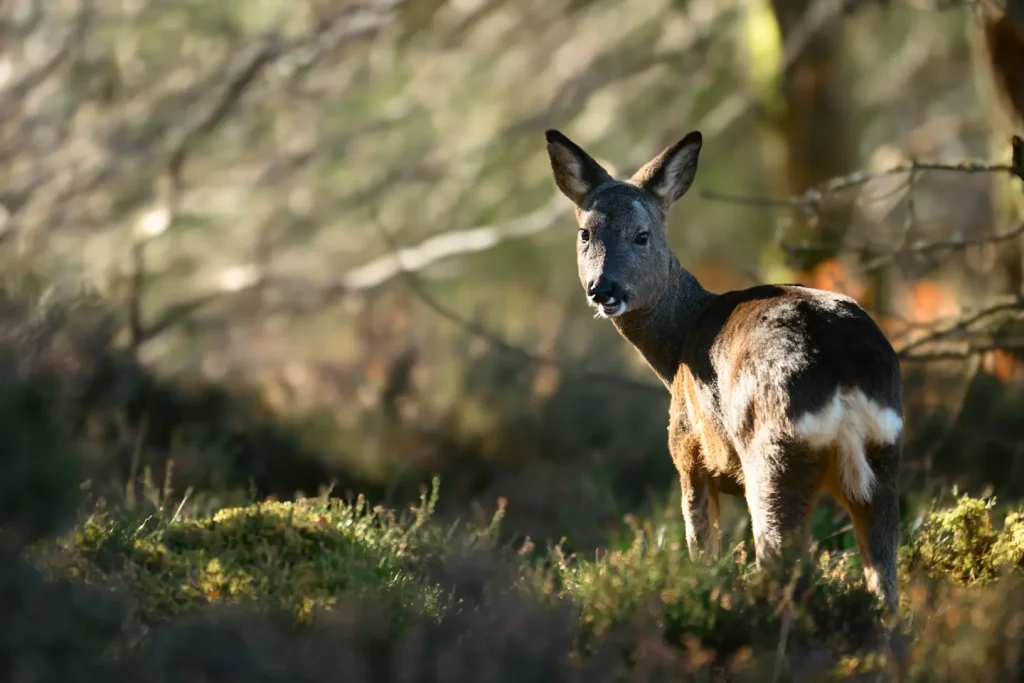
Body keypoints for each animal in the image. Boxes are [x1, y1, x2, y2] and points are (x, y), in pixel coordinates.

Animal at [543, 128, 903, 614]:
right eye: (585, 233)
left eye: (642, 235)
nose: (603, 289)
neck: (678, 342)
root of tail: (842, 374)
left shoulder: (688, 452)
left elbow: (700, 545)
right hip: (885, 455)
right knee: (886, 579)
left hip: (771, 454)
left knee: (782, 561)